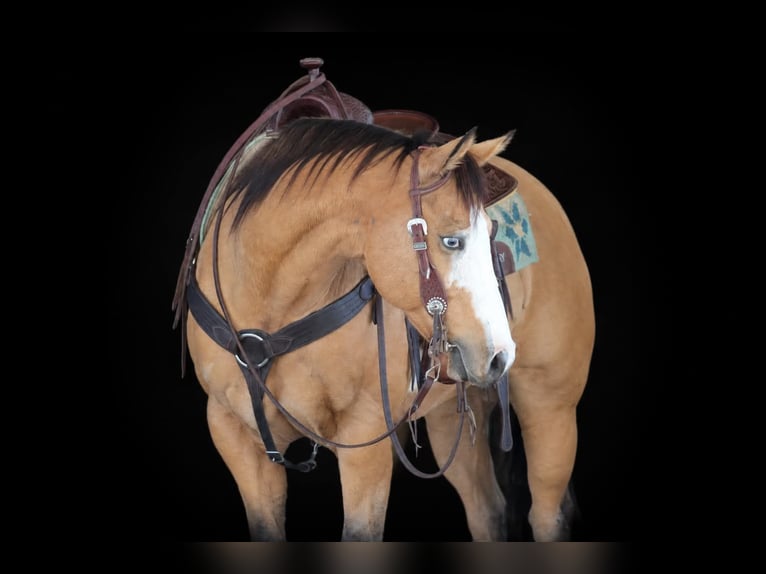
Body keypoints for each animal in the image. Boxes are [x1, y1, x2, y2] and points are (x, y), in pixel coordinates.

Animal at [172, 59, 594, 541]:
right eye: (451, 240)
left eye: (491, 236)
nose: (499, 355)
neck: (268, 308)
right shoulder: (234, 435)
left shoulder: (364, 438)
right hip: (453, 413)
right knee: (487, 511)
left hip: (550, 407)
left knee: (546, 516)